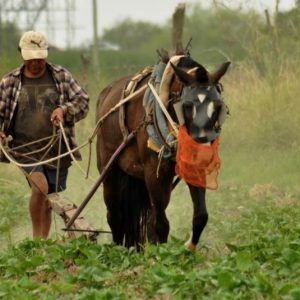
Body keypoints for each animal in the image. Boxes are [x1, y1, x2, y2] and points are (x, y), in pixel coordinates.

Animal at [96, 53, 230, 248]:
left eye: (218, 106)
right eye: (187, 106)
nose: (203, 151)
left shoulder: (192, 167)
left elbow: (200, 216)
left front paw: (188, 248)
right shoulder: (153, 172)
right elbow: (161, 224)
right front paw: (163, 254)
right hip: (109, 170)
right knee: (114, 214)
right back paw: (118, 248)